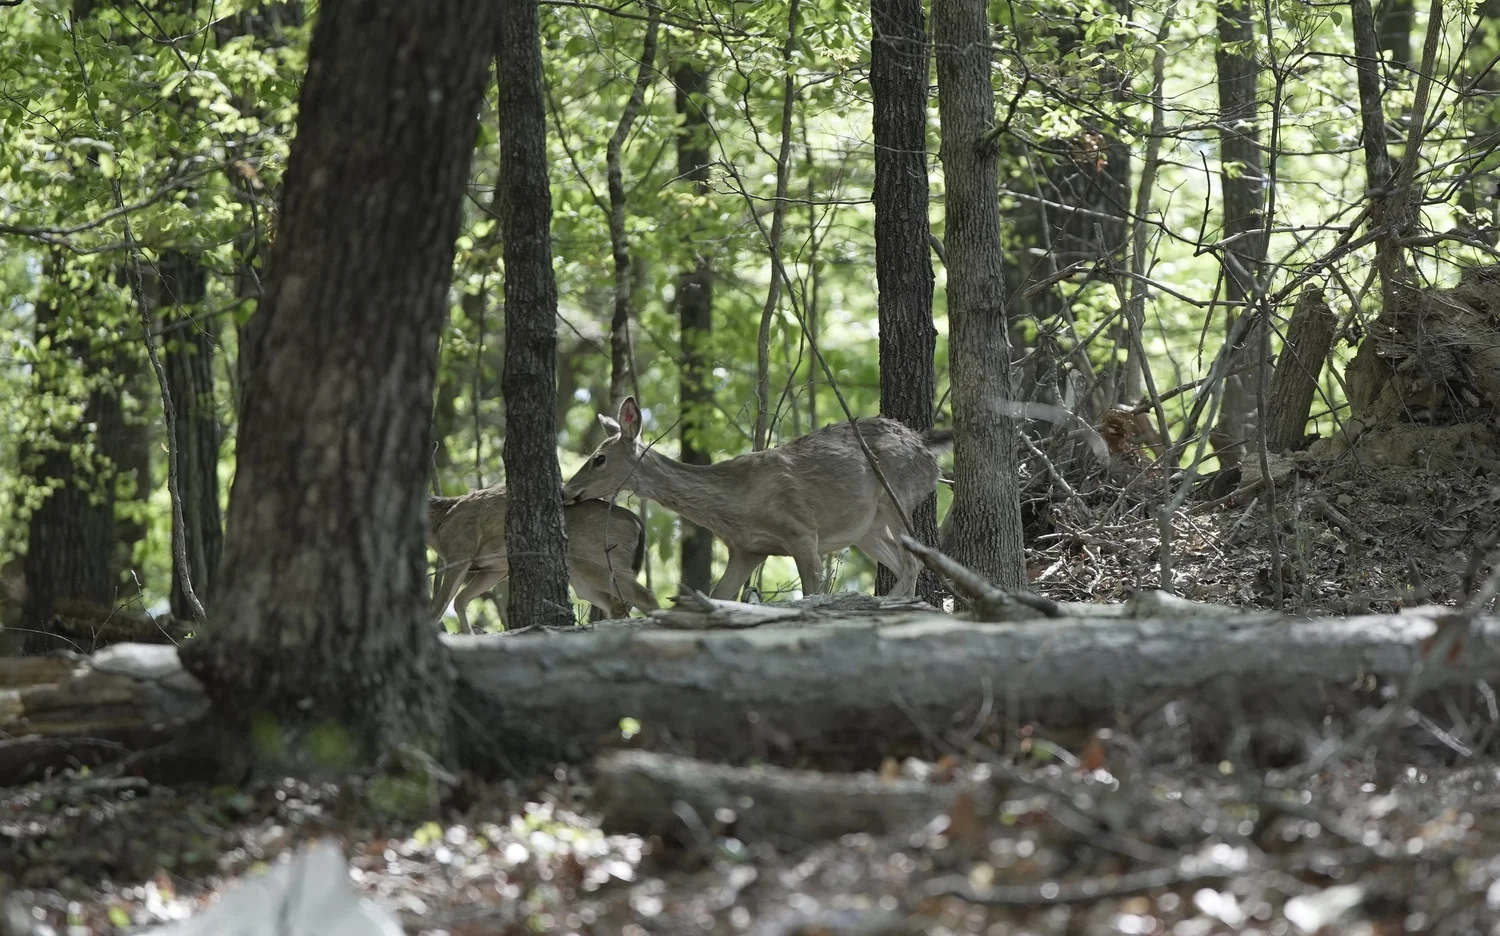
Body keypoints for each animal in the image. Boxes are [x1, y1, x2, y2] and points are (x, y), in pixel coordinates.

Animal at [428, 485, 658, 632]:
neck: (440, 524)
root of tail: (636, 522)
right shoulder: (493, 568)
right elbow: (460, 600)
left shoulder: (460, 550)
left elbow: (439, 606)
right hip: (582, 579)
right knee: (616, 606)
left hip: (596, 560)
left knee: (645, 596)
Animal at [561, 396, 953, 600]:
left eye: (599, 458)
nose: (566, 490)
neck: (737, 504)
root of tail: (924, 446)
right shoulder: (747, 550)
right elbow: (719, 596)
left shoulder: (801, 531)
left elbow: (812, 594)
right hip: (866, 528)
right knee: (904, 563)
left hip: (897, 496)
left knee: (913, 562)